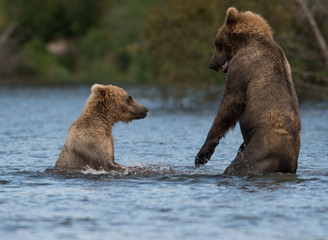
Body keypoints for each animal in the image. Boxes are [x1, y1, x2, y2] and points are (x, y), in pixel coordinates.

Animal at [195, 7, 302, 176]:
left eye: (217, 44)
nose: (211, 64)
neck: (246, 42)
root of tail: (290, 160)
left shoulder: (242, 66)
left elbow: (231, 101)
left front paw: (203, 154)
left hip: (261, 151)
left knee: (239, 166)